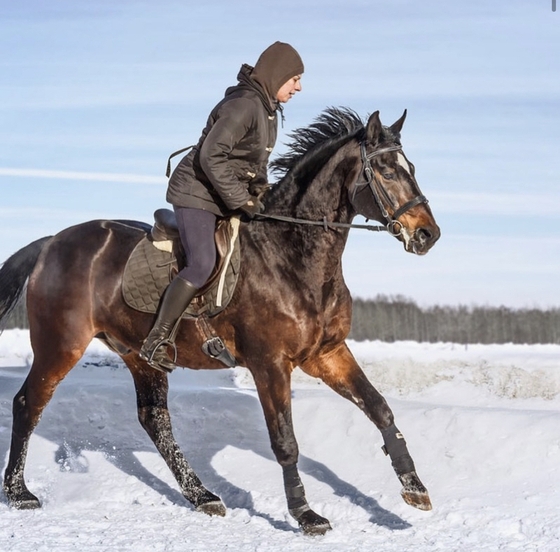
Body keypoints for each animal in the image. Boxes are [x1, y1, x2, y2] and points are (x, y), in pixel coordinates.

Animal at [0, 108, 440, 536]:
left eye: (412, 168)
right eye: (385, 170)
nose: (428, 234)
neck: (292, 256)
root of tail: (52, 241)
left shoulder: (327, 354)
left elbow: (380, 409)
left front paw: (414, 488)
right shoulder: (269, 363)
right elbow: (285, 441)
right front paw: (305, 514)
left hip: (140, 355)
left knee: (154, 421)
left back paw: (202, 495)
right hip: (61, 344)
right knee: (28, 404)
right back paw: (20, 493)